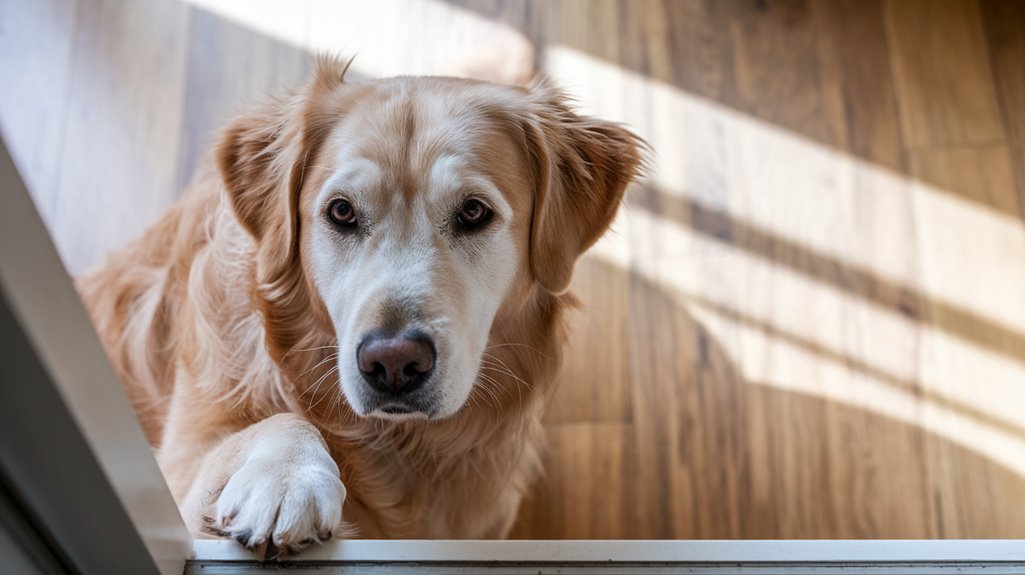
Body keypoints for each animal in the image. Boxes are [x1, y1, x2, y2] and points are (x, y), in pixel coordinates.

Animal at [79, 57, 639, 553]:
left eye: (474, 212)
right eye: (342, 212)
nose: (392, 363)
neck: (398, 444)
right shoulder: (170, 480)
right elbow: (278, 422)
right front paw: (289, 479)